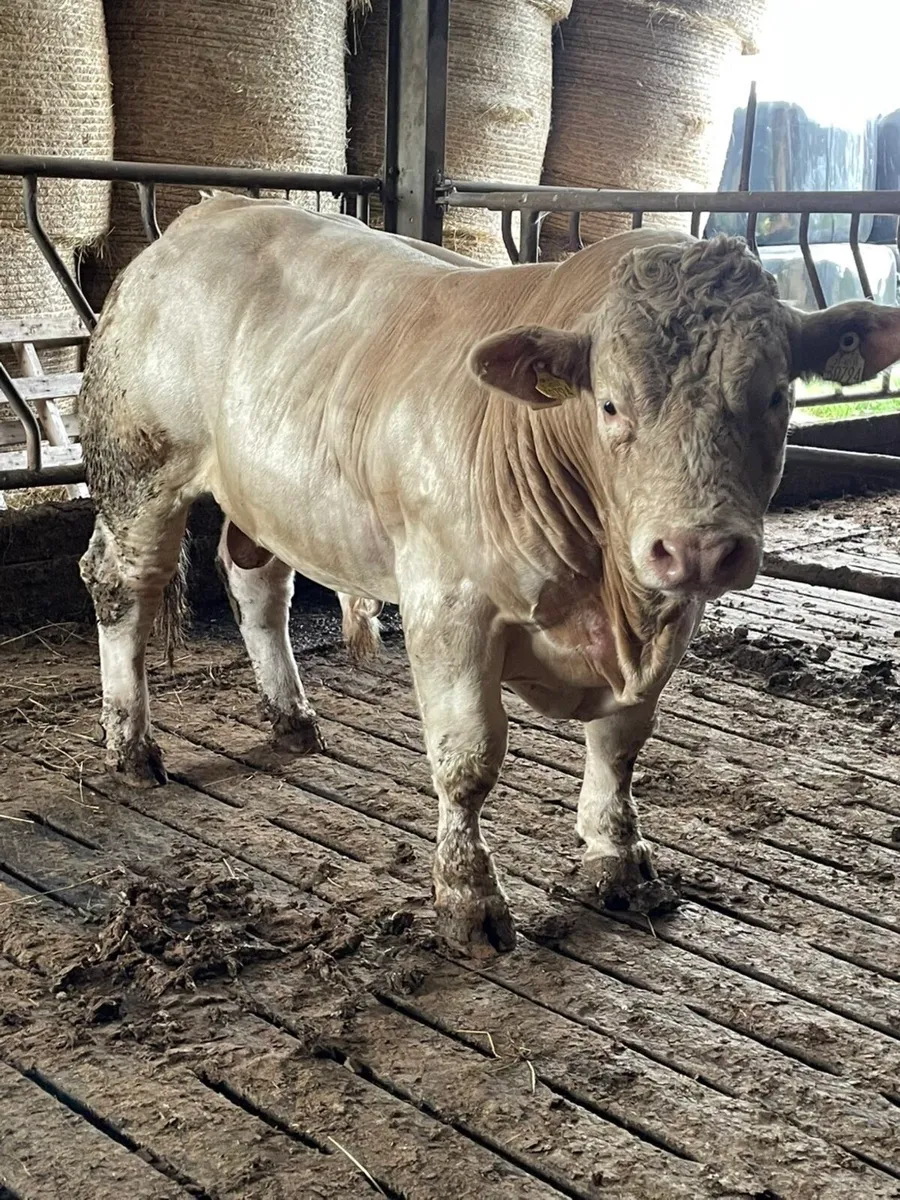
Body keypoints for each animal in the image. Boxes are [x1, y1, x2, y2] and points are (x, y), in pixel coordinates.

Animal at [78, 194, 900, 955]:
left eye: (778, 395)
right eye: (609, 404)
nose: (697, 547)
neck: (607, 598)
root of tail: (210, 210)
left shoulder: (665, 618)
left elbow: (622, 742)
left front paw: (618, 859)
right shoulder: (449, 605)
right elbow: (468, 758)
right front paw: (468, 900)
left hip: (265, 493)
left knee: (256, 585)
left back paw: (291, 717)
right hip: (137, 471)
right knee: (122, 588)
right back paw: (130, 746)